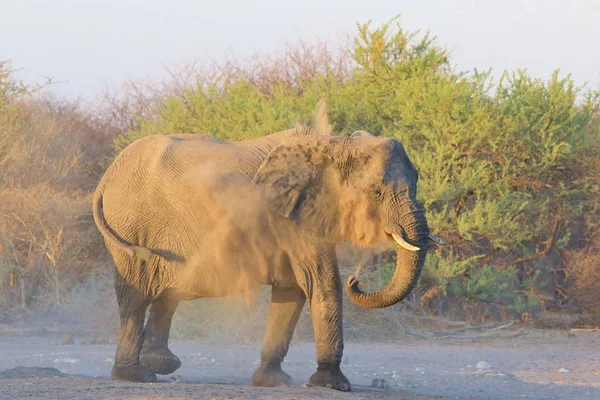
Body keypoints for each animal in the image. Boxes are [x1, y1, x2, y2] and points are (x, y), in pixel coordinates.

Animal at [90, 102, 446, 390]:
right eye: (375, 192)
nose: (356, 280)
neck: (338, 145)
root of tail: (107, 176)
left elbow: (292, 290)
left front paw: (274, 381)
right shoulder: (294, 219)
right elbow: (320, 282)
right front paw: (333, 385)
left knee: (167, 293)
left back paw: (160, 364)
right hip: (132, 226)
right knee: (136, 297)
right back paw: (136, 375)